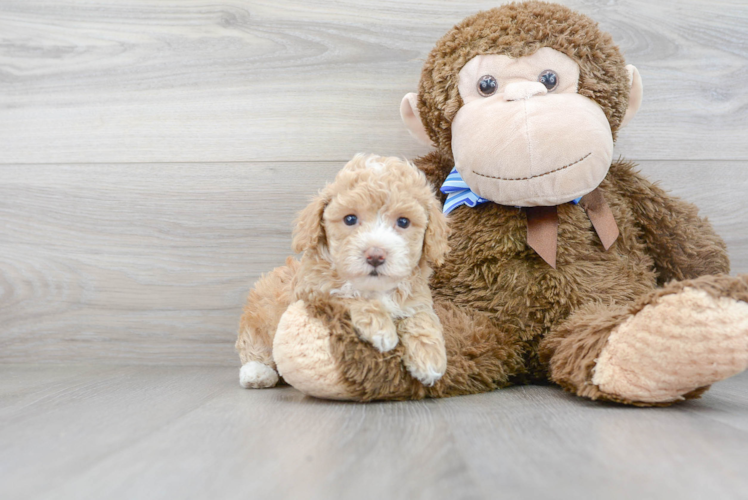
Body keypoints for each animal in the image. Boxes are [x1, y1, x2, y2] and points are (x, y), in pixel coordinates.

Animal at [237, 154, 450, 388]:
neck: (375, 289)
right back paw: (257, 373)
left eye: (403, 221)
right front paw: (380, 328)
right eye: (350, 219)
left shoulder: (417, 299)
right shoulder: (314, 293)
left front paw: (429, 359)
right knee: (253, 347)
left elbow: (422, 317)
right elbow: (348, 297)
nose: (375, 255)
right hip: (258, 319)